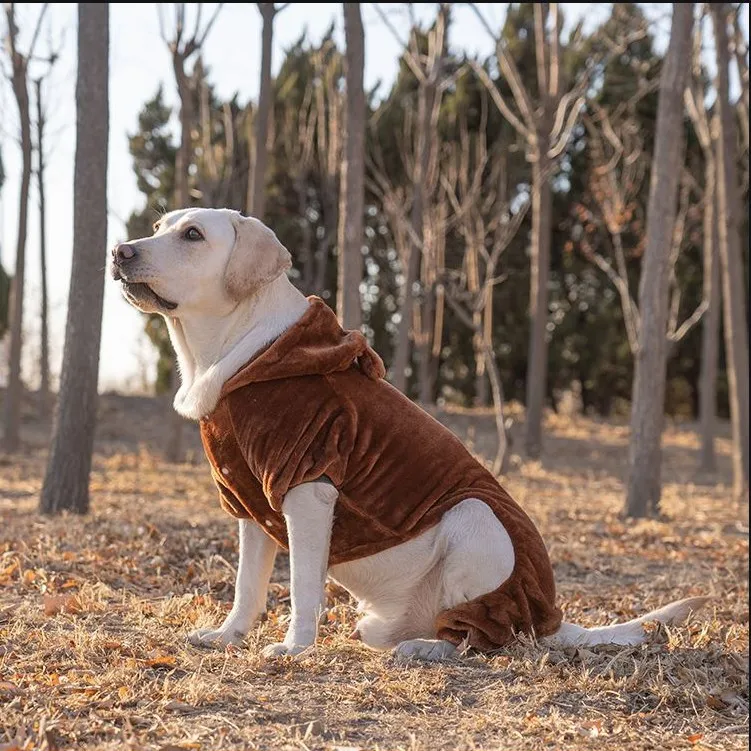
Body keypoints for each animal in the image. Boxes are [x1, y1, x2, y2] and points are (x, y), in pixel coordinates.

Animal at [110, 209, 704, 660]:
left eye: (192, 235)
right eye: (160, 225)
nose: (120, 251)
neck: (238, 351)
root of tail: (553, 620)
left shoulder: (307, 487)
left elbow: (301, 587)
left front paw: (295, 648)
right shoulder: (252, 502)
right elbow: (246, 586)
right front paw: (227, 636)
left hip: (477, 521)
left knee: (481, 637)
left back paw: (430, 649)